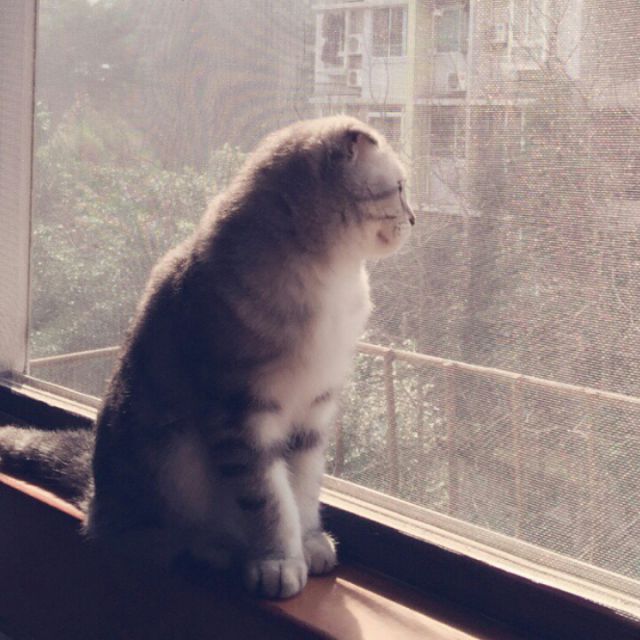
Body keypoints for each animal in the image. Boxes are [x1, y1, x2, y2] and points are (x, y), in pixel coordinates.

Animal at [0, 115, 414, 599]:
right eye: (399, 188)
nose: (414, 217)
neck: (331, 284)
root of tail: (94, 493)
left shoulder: (314, 412)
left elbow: (304, 489)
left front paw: (309, 540)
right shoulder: (243, 414)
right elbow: (269, 499)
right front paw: (279, 561)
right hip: (172, 455)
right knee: (146, 538)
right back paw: (210, 550)